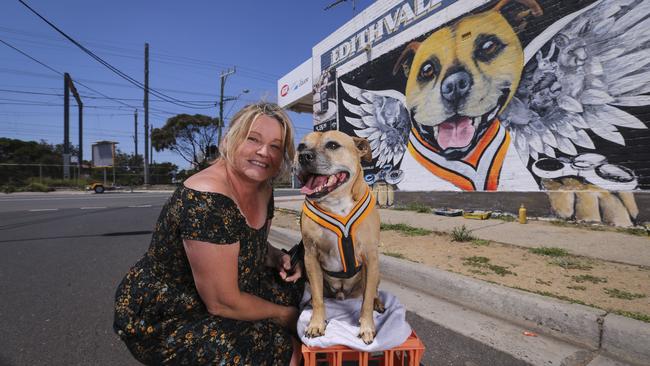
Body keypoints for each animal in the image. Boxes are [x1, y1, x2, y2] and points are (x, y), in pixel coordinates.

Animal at [294, 130, 382, 344]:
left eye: (332, 145)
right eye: (301, 146)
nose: (303, 156)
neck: (336, 203)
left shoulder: (371, 257)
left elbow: (366, 301)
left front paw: (367, 327)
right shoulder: (310, 256)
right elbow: (319, 299)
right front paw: (316, 323)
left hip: (377, 272)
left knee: (372, 292)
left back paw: (377, 301)